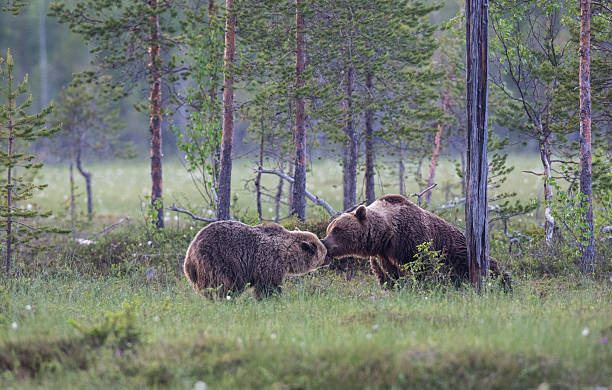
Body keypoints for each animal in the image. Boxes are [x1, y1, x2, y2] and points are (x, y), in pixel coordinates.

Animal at [183, 219, 330, 298]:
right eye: (323, 252)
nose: (329, 259)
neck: (287, 255)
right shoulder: (269, 263)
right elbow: (268, 286)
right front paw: (273, 298)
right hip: (218, 260)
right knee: (223, 284)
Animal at [320, 193, 512, 288]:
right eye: (329, 229)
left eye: (337, 230)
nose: (324, 242)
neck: (386, 235)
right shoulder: (383, 255)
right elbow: (388, 275)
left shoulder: (411, 239)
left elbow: (424, 266)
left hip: (464, 256)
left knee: (495, 269)